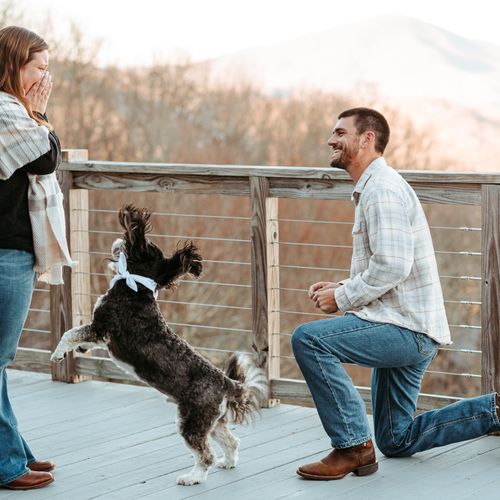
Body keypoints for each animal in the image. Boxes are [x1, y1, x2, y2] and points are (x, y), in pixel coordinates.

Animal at [50, 203, 268, 484]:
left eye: (132, 242)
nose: (118, 239)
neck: (135, 287)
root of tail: (227, 383)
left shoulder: (102, 326)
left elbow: (70, 333)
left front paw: (58, 354)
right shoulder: (100, 332)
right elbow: (79, 338)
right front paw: (80, 349)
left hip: (192, 421)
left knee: (204, 453)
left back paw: (193, 477)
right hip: (212, 421)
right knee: (232, 441)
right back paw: (227, 463)